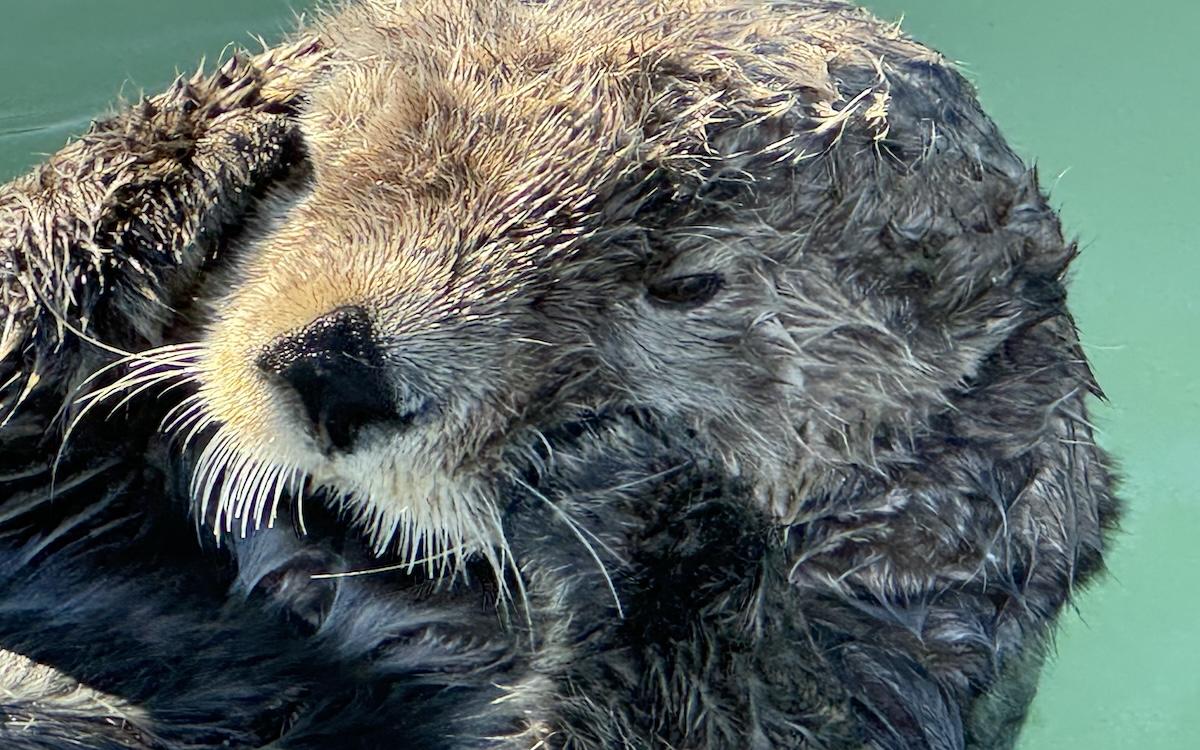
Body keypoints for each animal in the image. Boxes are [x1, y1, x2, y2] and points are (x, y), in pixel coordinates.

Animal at [0, 1, 1118, 748]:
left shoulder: (900, 662)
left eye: (684, 284)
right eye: (327, 157)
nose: (333, 367)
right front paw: (237, 109)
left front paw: (623, 484)